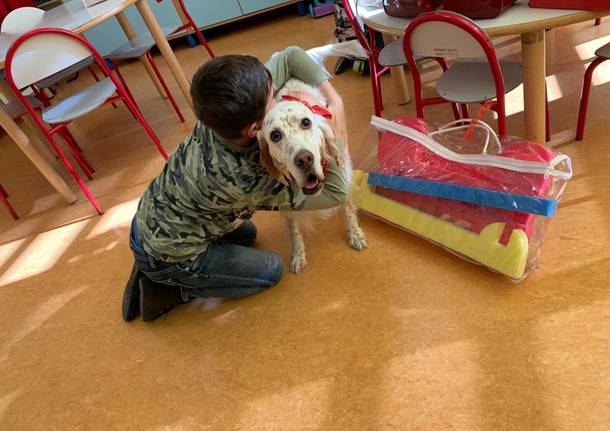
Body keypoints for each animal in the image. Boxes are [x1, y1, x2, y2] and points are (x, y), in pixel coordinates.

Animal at [256, 78, 366, 274]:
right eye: (275, 135)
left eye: (306, 122)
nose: (304, 160)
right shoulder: (286, 205)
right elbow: (294, 231)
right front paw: (298, 255)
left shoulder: (344, 177)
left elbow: (348, 210)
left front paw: (355, 234)